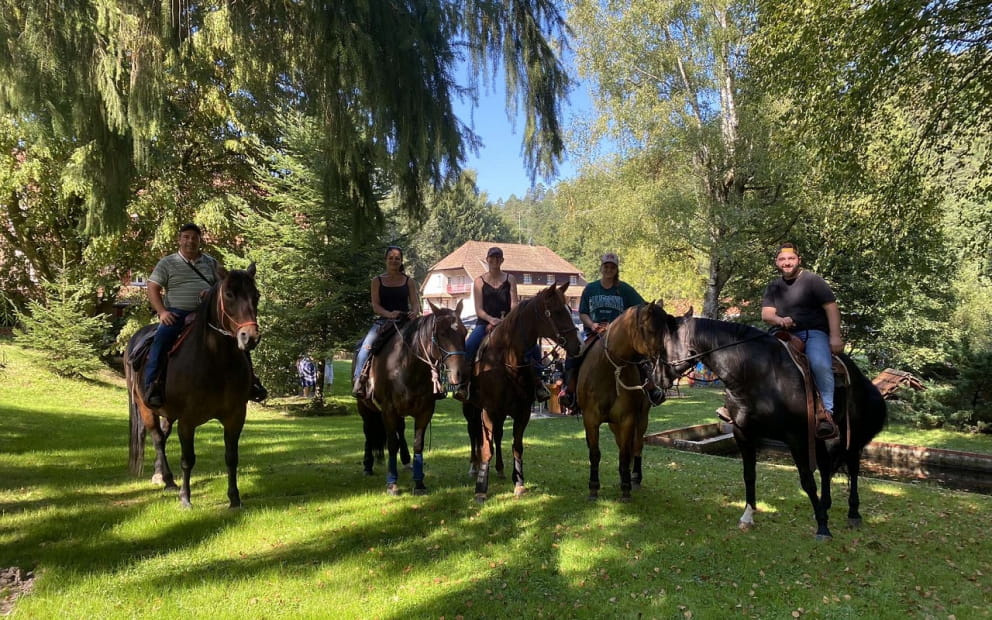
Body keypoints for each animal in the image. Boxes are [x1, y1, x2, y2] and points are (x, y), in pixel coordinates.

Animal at [124, 262, 262, 508]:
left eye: (256, 295)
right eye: (229, 294)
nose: (250, 337)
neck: (215, 360)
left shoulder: (236, 416)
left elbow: (231, 457)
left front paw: (234, 498)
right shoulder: (187, 421)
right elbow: (188, 459)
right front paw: (185, 499)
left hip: (168, 414)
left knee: (163, 437)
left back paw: (161, 475)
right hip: (146, 409)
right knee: (157, 439)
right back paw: (168, 480)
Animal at [354, 298, 466, 496]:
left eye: (465, 332)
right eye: (442, 333)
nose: (460, 374)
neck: (407, 366)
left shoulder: (425, 412)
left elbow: (417, 444)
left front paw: (419, 482)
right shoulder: (388, 410)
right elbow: (391, 444)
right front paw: (392, 483)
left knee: (400, 430)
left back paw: (406, 462)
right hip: (365, 408)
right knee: (368, 432)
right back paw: (367, 465)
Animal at [464, 284, 580, 502]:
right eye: (557, 311)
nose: (577, 345)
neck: (507, 361)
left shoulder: (522, 412)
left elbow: (516, 446)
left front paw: (519, 483)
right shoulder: (488, 410)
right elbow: (486, 448)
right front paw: (481, 487)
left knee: (497, 436)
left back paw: (500, 468)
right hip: (471, 410)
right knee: (473, 433)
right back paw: (474, 467)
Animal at [576, 302, 680, 502]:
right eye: (651, 329)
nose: (667, 362)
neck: (609, 370)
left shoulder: (627, 419)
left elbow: (625, 454)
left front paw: (626, 489)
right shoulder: (590, 419)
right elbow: (595, 453)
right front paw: (593, 488)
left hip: (641, 418)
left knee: (637, 446)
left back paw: (635, 478)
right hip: (613, 424)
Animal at [664, 312, 888, 540]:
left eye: (663, 343)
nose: (657, 380)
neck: (756, 374)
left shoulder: (796, 438)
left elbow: (807, 481)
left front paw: (823, 527)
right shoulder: (743, 433)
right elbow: (749, 475)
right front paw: (747, 517)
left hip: (851, 435)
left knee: (852, 467)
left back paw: (853, 513)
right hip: (820, 438)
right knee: (826, 468)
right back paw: (825, 506)